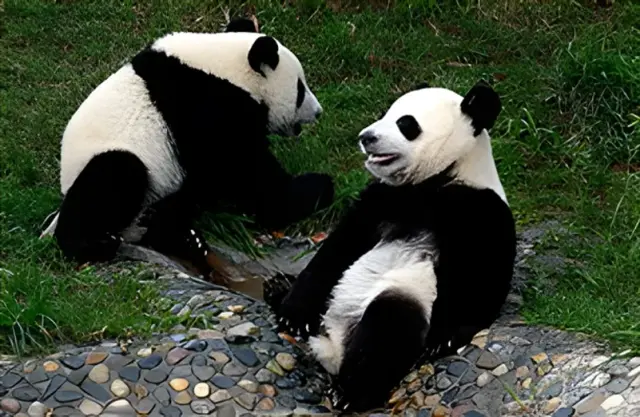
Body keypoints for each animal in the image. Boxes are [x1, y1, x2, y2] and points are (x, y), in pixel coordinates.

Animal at [44, 18, 334, 275]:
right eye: (300, 89)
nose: (318, 112)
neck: (225, 67)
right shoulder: (207, 107)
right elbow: (244, 171)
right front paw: (316, 189)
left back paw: (178, 233)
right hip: (111, 165)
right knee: (115, 175)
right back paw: (95, 243)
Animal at [275, 80, 517, 411]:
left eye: (406, 124)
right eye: (384, 114)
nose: (366, 137)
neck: (434, 181)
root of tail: (332, 347)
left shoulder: (480, 208)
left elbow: (485, 276)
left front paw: (446, 337)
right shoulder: (383, 199)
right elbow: (339, 247)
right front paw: (293, 313)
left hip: (402, 295)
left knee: (386, 330)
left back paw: (351, 392)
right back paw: (276, 287)